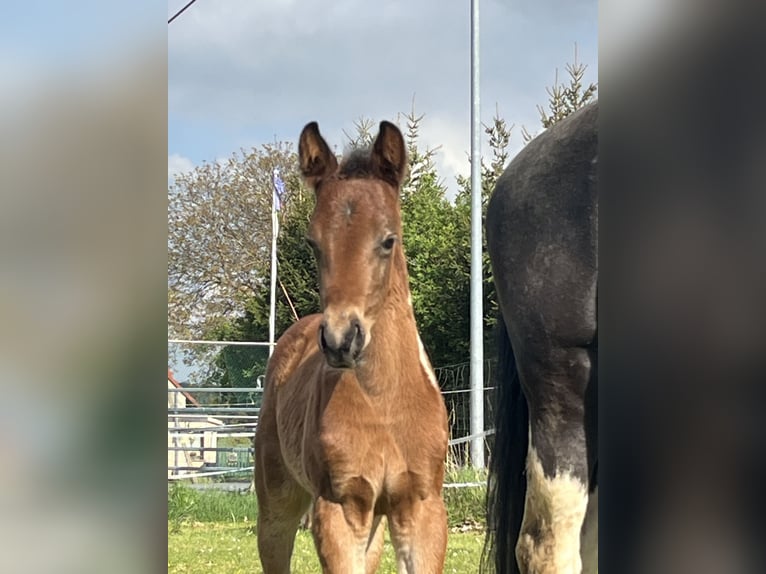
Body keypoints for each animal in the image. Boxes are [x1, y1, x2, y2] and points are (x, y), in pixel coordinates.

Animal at [253, 120, 450, 573]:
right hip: (277, 504)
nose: (341, 340)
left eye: (388, 240)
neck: (386, 404)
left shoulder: (423, 508)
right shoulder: (340, 508)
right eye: (313, 243)